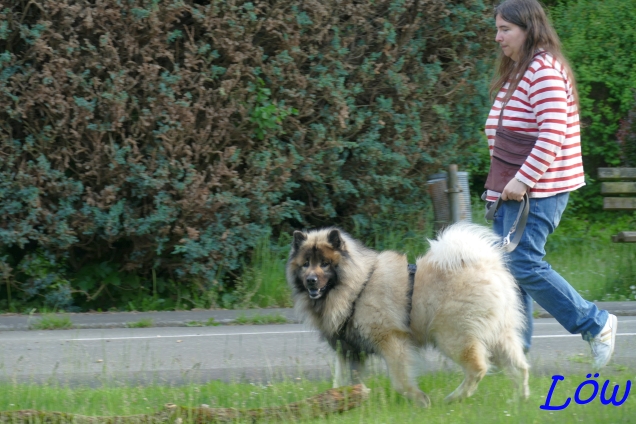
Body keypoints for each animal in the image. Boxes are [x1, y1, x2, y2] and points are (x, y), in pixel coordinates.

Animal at [286, 220, 528, 406]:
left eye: (325, 264)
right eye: (306, 264)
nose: (311, 280)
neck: (357, 287)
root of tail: (486, 265)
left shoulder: (391, 341)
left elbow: (400, 381)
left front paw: (420, 400)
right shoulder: (348, 350)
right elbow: (343, 383)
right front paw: (340, 404)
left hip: (453, 336)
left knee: (478, 368)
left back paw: (454, 398)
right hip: (499, 335)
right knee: (520, 367)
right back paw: (518, 401)